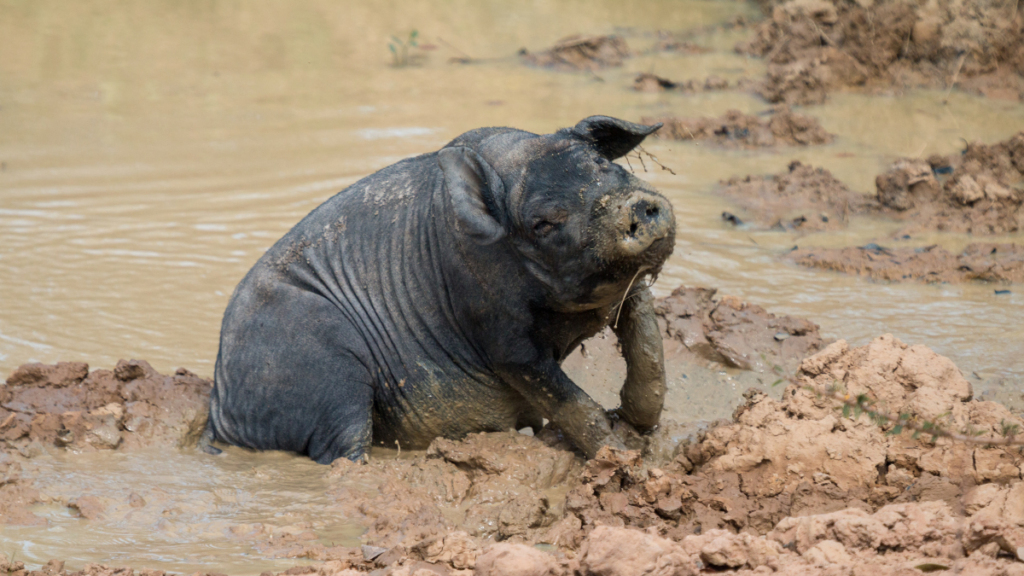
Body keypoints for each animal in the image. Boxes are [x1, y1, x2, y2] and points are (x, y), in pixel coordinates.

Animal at [204, 116, 675, 463]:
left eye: (603, 165)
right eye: (542, 222)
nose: (634, 207)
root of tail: (217, 409)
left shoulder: (630, 292)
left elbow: (649, 351)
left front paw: (639, 426)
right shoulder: (500, 336)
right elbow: (572, 402)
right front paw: (624, 458)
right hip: (328, 371)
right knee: (343, 451)